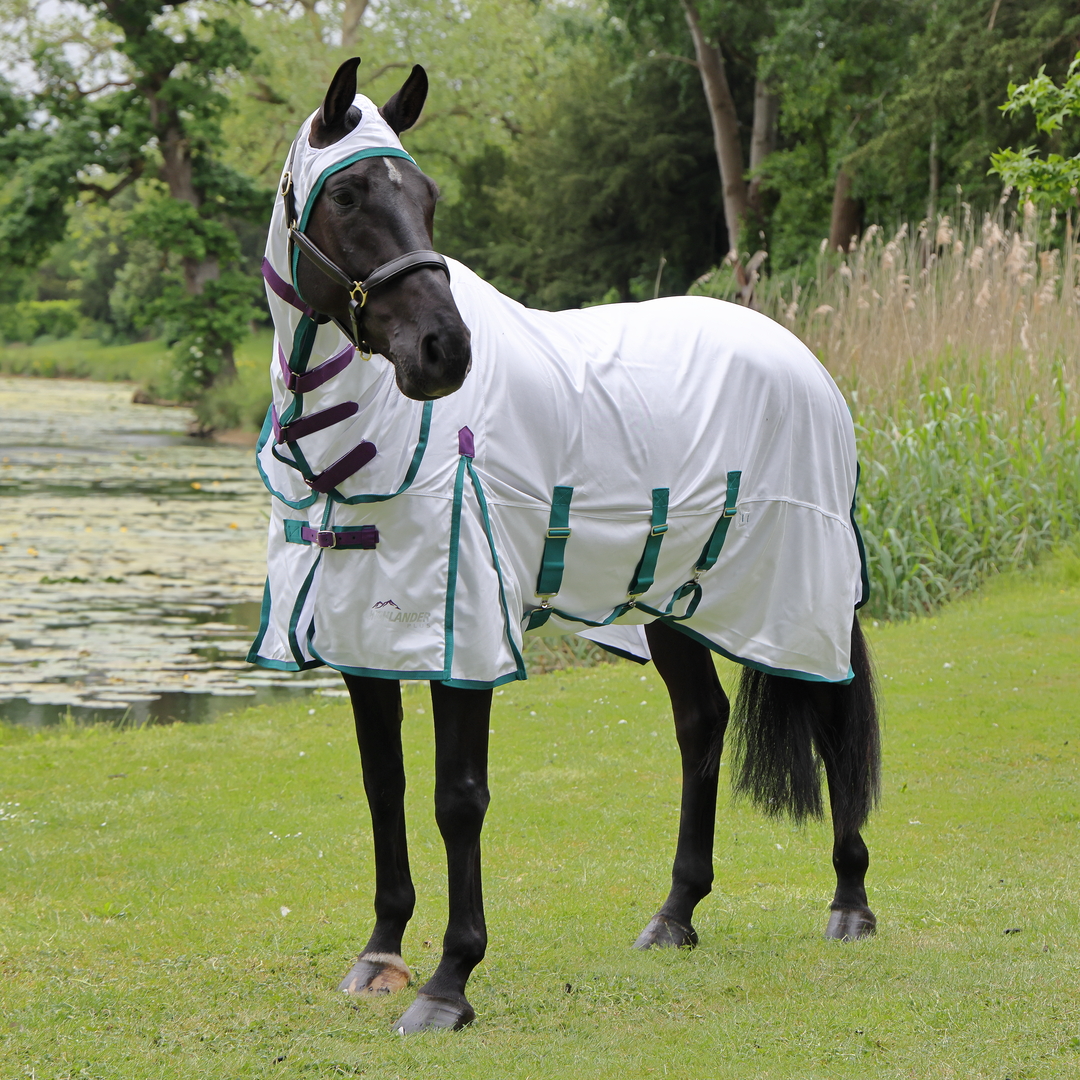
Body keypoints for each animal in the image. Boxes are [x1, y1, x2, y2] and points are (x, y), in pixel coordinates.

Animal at [250, 57, 881, 1034]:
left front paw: (448, 984)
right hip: (672, 598)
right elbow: (384, 786)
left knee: (832, 710)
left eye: (427, 197)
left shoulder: (463, 631)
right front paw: (382, 953)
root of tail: (800, 357)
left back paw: (850, 904)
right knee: (702, 723)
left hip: (802, 588)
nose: (444, 350)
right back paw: (675, 914)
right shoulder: (364, 633)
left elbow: (457, 798)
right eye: (348, 194)